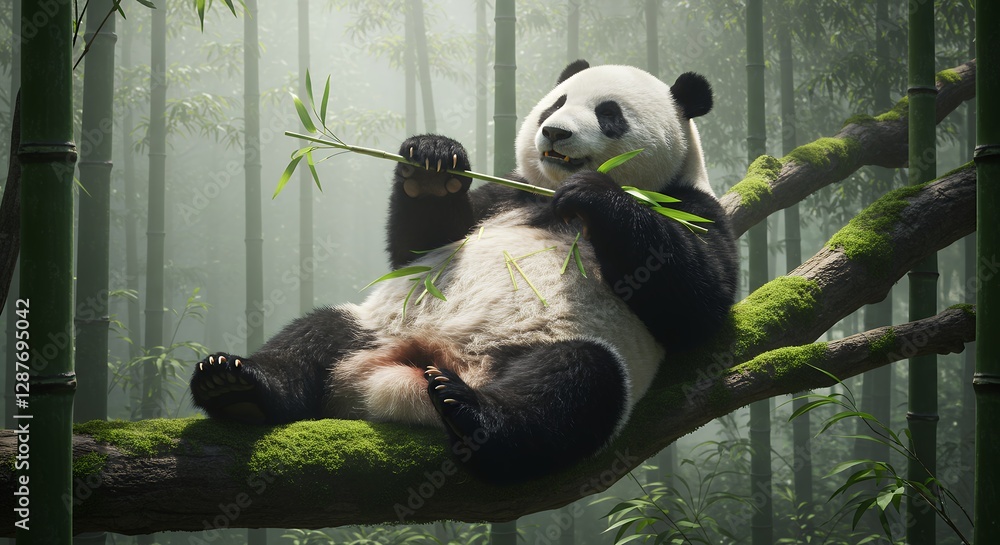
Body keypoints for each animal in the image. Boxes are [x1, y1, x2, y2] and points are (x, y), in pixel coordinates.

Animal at [190, 60, 738, 483]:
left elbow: (699, 301)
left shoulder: (691, 206)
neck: (549, 198)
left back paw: (467, 409)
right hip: (378, 325)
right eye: (555, 104)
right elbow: (418, 247)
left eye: (609, 115)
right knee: (314, 334)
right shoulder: (504, 194)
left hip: (561, 347)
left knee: (573, 388)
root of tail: (408, 372)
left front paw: (596, 192)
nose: (555, 132)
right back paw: (237, 386)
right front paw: (432, 162)